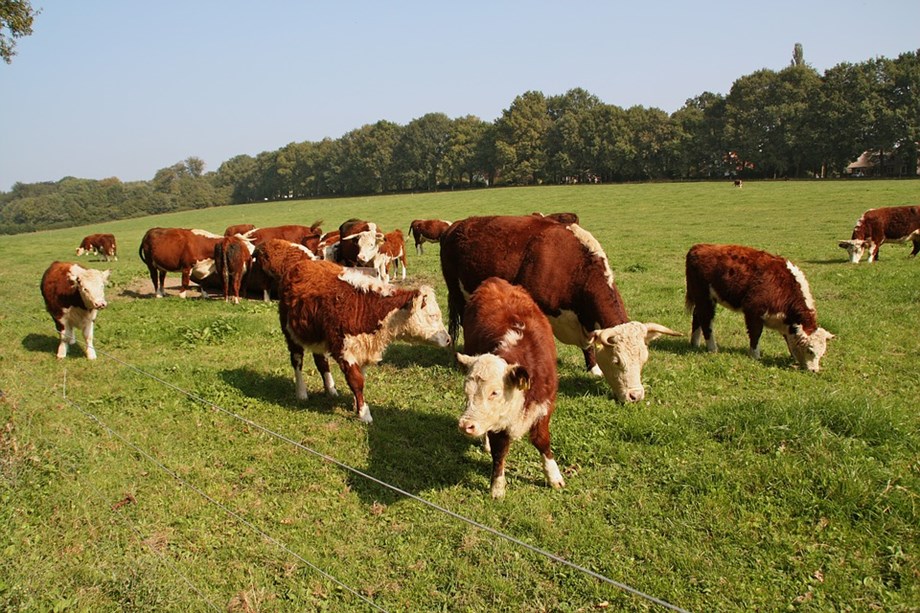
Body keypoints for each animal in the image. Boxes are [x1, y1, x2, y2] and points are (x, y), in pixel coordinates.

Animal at [278, 259, 451, 423]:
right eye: (432, 316)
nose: (448, 339)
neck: (366, 307)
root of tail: (301, 264)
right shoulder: (345, 350)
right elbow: (356, 381)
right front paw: (364, 413)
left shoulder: (363, 349)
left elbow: (361, 378)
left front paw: (356, 405)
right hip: (291, 334)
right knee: (297, 361)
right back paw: (301, 392)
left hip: (317, 337)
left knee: (321, 362)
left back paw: (331, 389)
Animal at [440, 215, 680, 403]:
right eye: (616, 361)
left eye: (643, 360)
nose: (635, 396)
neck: (572, 267)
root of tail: (456, 225)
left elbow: (588, 345)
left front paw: (592, 369)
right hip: (457, 292)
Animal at [456, 278, 564, 499]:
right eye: (466, 391)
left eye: (494, 392)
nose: (465, 425)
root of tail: (494, 281)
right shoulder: (498, 425)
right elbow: (499, 452)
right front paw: (497, 488)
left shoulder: (544, 407)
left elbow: (542, 441)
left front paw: (554, 476)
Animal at [685, 243, 835, 372]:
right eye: (810, 350)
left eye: (822, 353)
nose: (814, 370)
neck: (784, 286)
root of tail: (698, 247)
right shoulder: (753, 310)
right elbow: (756, 333)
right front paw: (755, 355)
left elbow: (789, 339)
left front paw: (792, 356)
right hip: (704, 297)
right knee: (706, 320)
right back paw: (712, 348)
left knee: (697, 316)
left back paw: (695, 343)